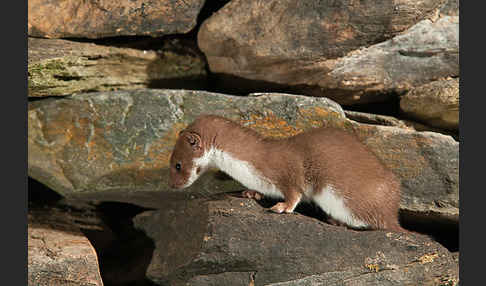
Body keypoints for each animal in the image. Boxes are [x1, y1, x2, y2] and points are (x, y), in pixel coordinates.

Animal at [169, 114, 404, 232]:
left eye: (177, 165)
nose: (173, 186)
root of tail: (392, 212)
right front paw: (251, 193)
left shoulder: (289, 171)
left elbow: (294, 192)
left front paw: (281, 207)